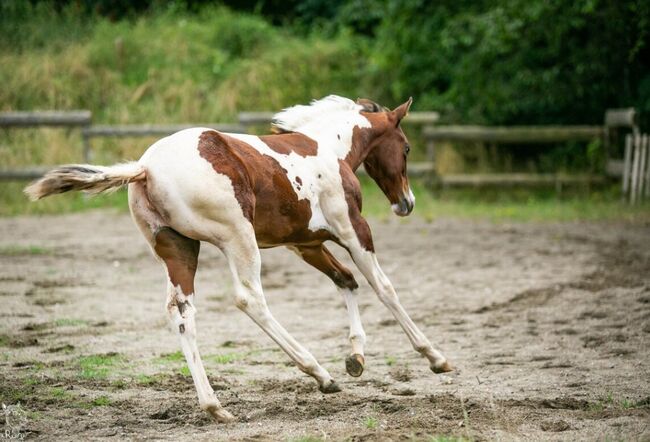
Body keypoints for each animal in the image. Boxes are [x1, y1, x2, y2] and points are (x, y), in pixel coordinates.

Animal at [25, 96, 450, 422]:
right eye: (406, 148)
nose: (406, 203)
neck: (328, 149)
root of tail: (146, 168)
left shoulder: (306, 244)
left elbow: (345, 279)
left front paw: (357, 357)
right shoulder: (352, 230)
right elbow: (383, 287)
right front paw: (435, 357)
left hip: (179, 249)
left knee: (181, 312)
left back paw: (215, 407)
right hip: (238, 237)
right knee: (249, 299)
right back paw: (319, 373)